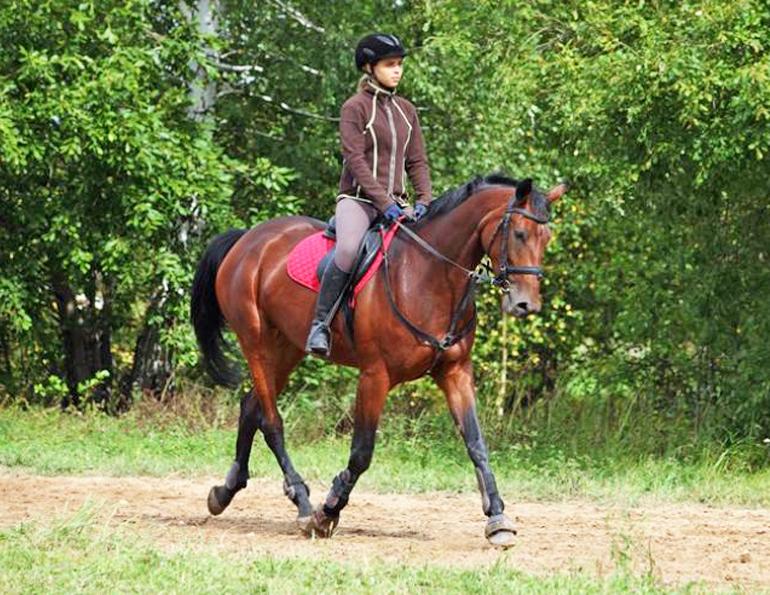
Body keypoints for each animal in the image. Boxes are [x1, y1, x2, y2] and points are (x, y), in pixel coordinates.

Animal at [190, 174, 567, 547]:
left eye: (546, 237)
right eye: (519, 233)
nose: (526, 305)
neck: (429, 275)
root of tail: (249, 238)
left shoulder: (455, 372)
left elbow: (476, 444)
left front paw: (498, 519)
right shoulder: (375, 376)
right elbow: (361, 453)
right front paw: (327, 512)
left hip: (286, 349)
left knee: (250, 406)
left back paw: (225, 491)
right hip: (256, 343)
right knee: (271, 422)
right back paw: (302, 502)